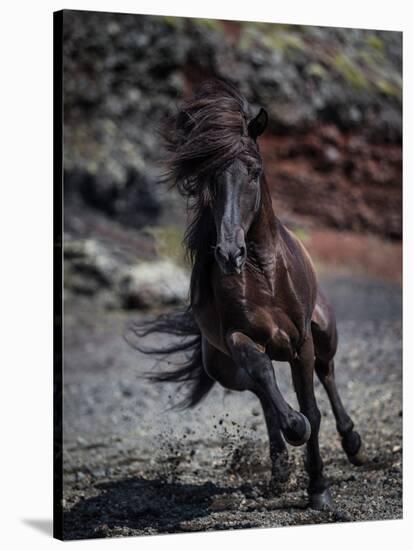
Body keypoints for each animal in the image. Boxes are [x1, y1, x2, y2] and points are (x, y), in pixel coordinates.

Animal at [134, 80, 364, 512]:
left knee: (327, 373)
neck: (263, 273)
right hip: (223, 369)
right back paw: (280, 468)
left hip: (324, 332)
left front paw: (319, 489)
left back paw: (353, 443)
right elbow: (273, 389)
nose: (229, 253)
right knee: (260, 390)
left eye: (254, 172)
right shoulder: (240, 338)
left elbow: (313, 408)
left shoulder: (301, 342)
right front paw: (294, 436)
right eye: (209, 176)